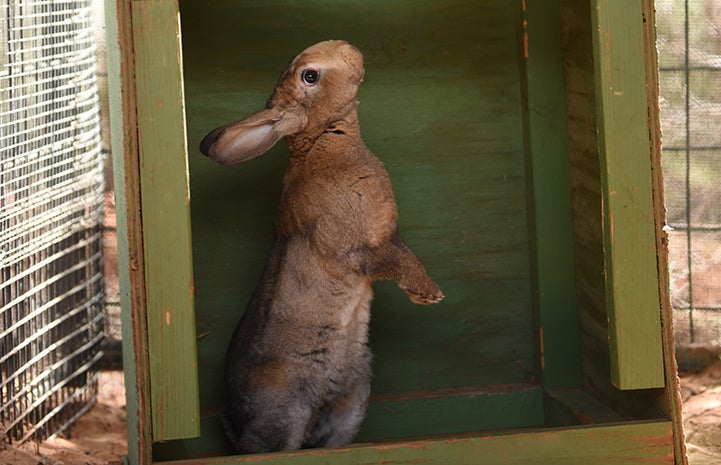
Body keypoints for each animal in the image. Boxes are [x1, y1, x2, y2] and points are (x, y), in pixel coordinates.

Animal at [200, 40, 442, 454]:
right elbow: (395, 260)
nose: (351, 48)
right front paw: (429, 294)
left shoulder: (386, 236)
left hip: (353, 400)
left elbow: (402, 251)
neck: (321, 139)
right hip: (288, 412)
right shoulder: (356, 248)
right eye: (309, 76)